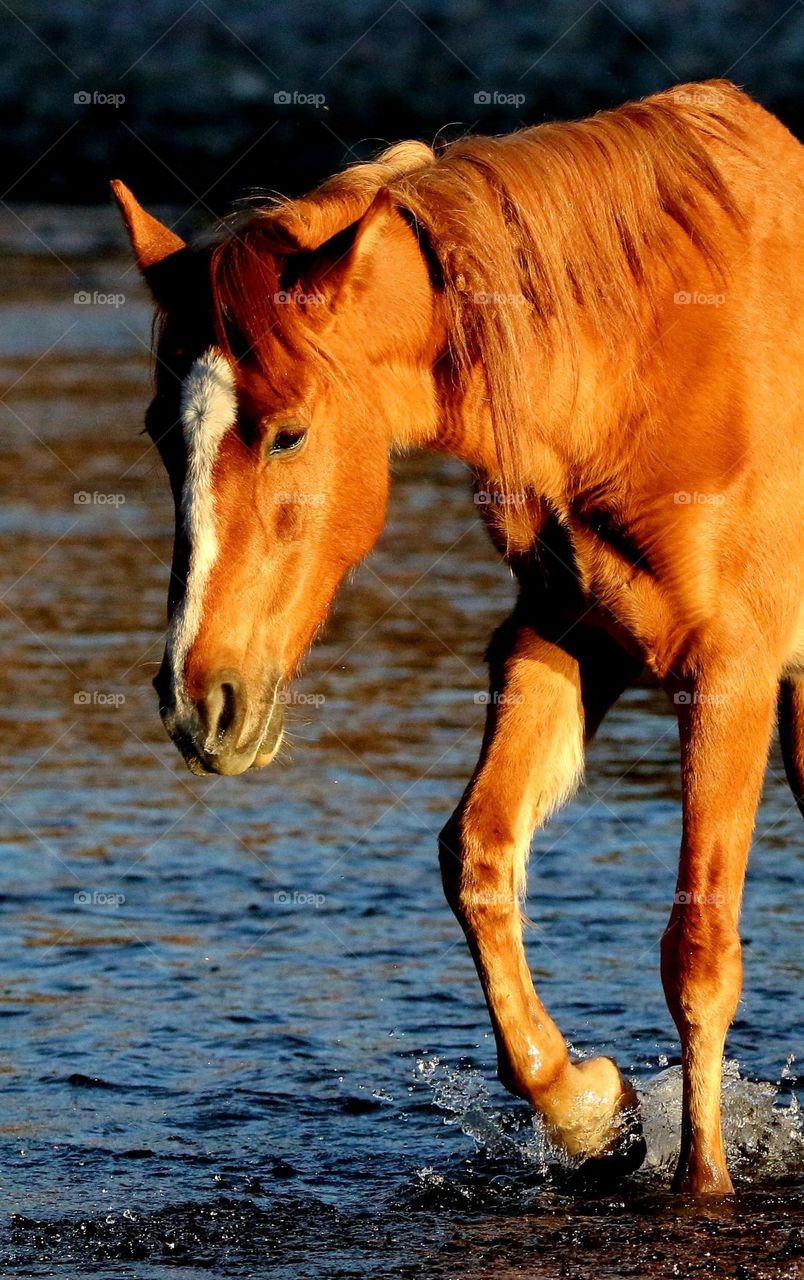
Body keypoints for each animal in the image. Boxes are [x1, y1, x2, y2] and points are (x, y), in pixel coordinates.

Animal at [113, 79, 804, 1195]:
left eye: (290, 431)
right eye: (160, 433)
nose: (199, 697)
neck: (648, 354)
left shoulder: (730, 672)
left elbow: (699, 949)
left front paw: (701, 1183)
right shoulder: (564, 637)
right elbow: (478, 854)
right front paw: (594, 1108)